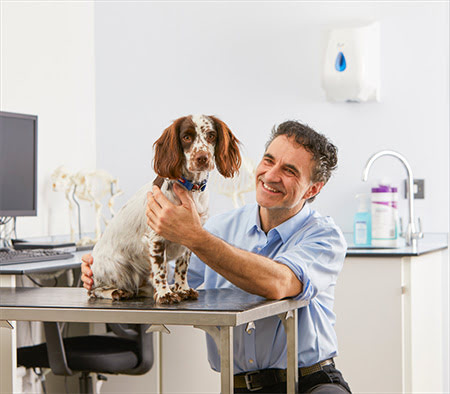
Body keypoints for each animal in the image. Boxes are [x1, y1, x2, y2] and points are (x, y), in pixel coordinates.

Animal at [89, 115, 241, 304]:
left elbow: (182, 267)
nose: (202, 158)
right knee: (95, 290)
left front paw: (183, 289)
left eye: (211, 135)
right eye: (186, 137)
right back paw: (117, 292)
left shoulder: (191, 235)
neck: (191, 190)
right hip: (116, 267)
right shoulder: (156, 237)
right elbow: (160, 269)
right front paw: (165, 293)